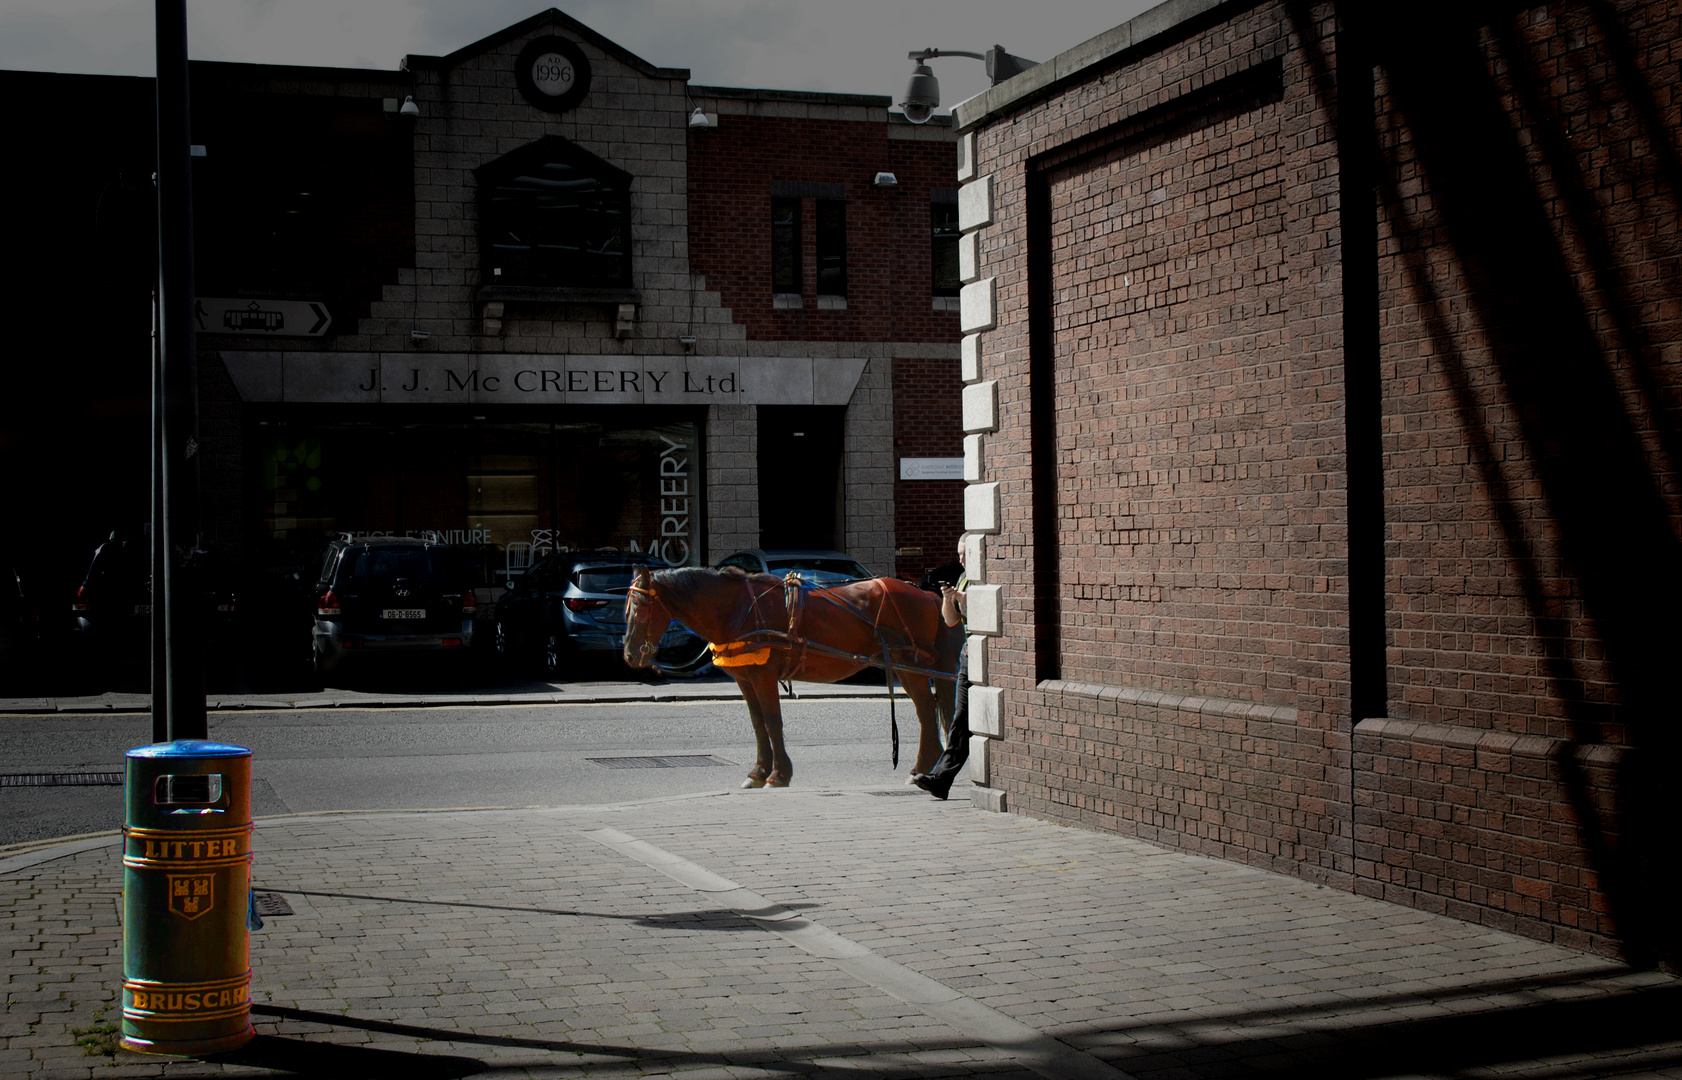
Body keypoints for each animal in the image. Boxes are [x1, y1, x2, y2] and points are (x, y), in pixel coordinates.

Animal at [622, 568, 962, 787]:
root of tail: (927, 594)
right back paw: (925, 766)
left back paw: (922, 767)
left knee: (926, 711)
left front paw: (778, 774)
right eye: (628, 607)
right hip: (907, 667)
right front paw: (758, 771)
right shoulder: (745, 678)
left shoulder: (763, 675)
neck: (737, 608)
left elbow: (773, 722)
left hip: (909, 663)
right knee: (927, 710)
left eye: (641, 606)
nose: (630, 654)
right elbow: (758, 724)